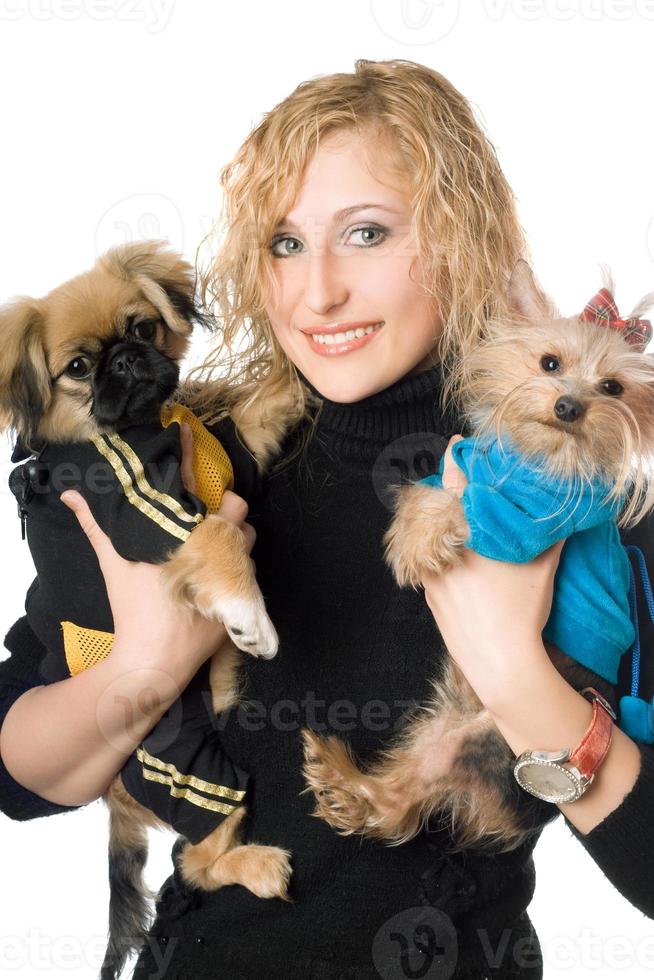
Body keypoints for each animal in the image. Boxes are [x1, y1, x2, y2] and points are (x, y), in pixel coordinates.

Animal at [0, 239, 294, 980]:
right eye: (78, 368)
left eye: (142, 328)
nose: (127, 360)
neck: (142, 425)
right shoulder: (153, 517)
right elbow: (221, 539)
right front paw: (250, 614)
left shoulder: (229, 463)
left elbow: (258, 411)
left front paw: (296, 371)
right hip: (194, 771)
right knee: (197, 862)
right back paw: (259, 867)